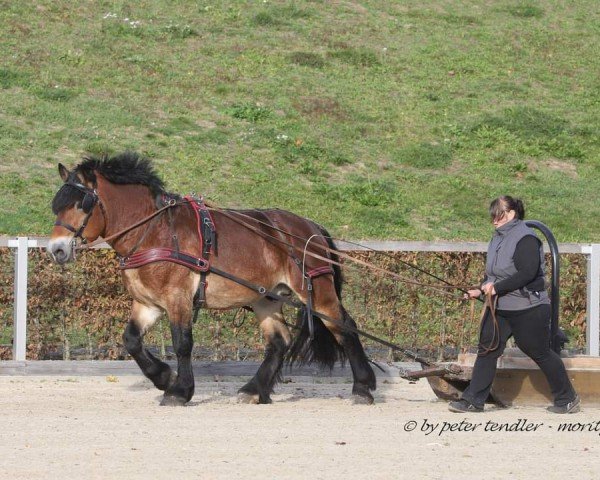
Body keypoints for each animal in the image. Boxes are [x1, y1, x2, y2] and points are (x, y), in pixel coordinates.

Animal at [49, 153, 376, 404]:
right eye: (57, 205)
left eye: (81, 203)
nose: (57, 249)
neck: (154, 232)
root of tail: (310, 226)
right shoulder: (147, 303)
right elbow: (131, 340)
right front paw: (164, 378)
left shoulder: (178, 298)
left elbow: (182, 343)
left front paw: (179, 390)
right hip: (266, 298)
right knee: (279, 341)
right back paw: (254, 390)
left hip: (317, 292)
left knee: (344, 327)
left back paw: (363, 387)